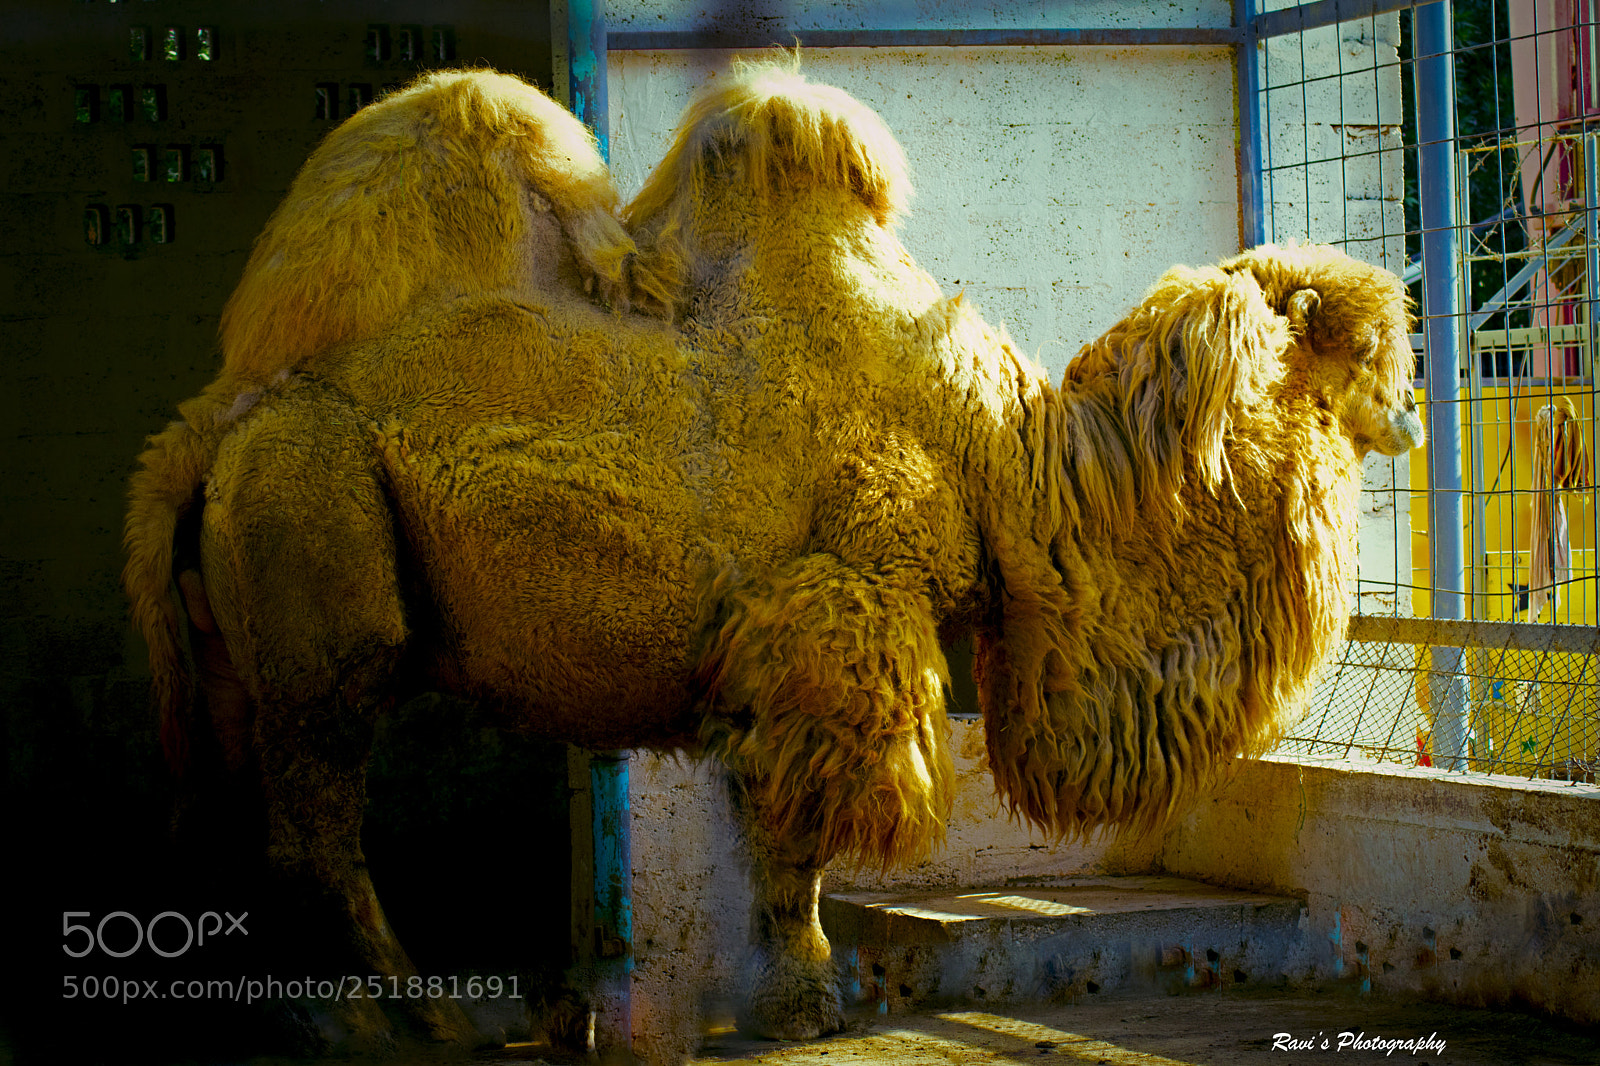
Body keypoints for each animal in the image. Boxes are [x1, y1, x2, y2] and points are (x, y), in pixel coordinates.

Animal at [122, 65, 1423, 1050]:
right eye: (1356, 345)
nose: (1414, 411)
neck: (1013, 460)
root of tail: (208, 425)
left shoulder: (777, 641)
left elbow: (768, 825)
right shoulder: (842, 609)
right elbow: (799, 839)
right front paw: (806, 999)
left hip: (241, 623)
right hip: (317, 549)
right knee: (318, 819)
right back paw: (402, 1020)